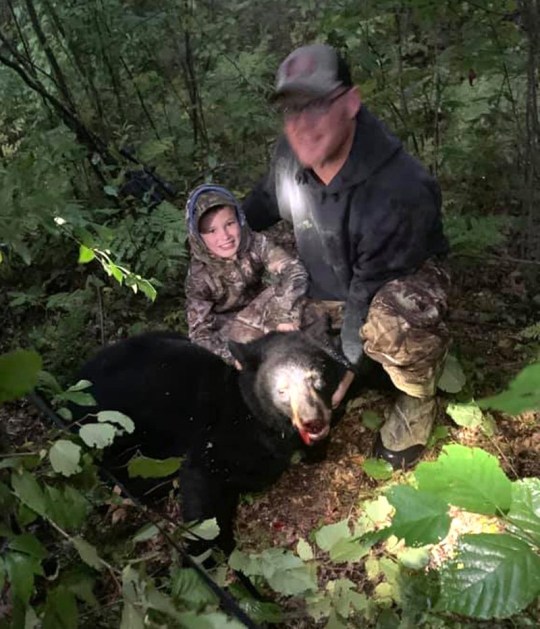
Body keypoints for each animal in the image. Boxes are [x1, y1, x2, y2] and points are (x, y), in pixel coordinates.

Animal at [71, 326, 348, 556]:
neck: (250, 414)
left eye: (317, 378)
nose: (312, 421)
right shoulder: (214, 442)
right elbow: (202, 491)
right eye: (282, 390)